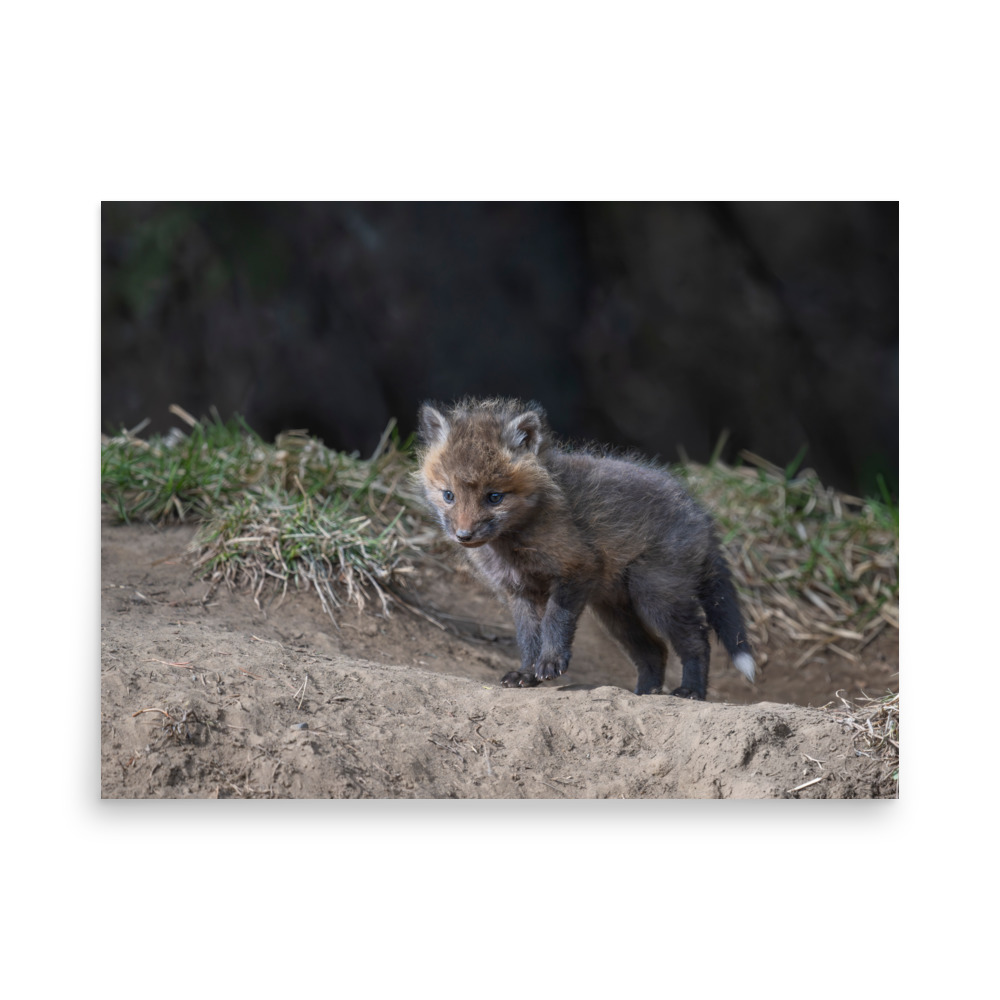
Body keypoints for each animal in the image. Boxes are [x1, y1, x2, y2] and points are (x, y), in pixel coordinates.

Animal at [416, 397, 756, 699]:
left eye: (494, 497)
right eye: (448, 495)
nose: (464, 535)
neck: (514, 545)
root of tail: (700, 513)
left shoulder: (576, 569)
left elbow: (555, 622)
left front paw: (551, 662)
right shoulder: (519, 591)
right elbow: (528, 637)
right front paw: (526, 673)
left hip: (656, 595)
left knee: (697, 640)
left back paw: (691, 691)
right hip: (616, 612)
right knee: (655, 651)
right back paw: (645, 693)